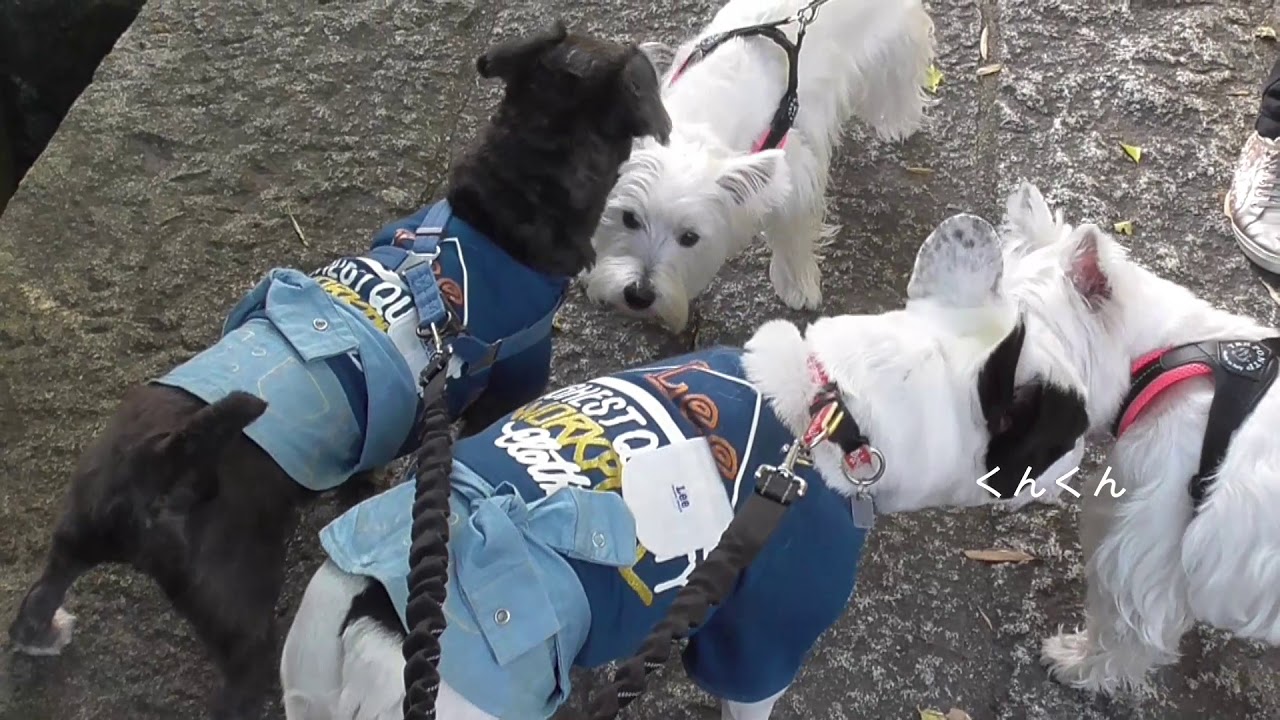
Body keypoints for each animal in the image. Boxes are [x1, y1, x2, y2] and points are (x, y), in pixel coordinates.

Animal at [7, 23, 670, 717]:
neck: (504, 206)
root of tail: (170, 453)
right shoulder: (507, 389)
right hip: (241, 613)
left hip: (78, 528)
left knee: (40, 594)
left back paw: (42, 632)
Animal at [586, 0, 936, 330]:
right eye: (629, 218)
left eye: (689, 237)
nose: (638, 295)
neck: (706, 109)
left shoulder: (793, 176)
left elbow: (792, 236)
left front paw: (799, 289)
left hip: (892, 37)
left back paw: (898, 122)